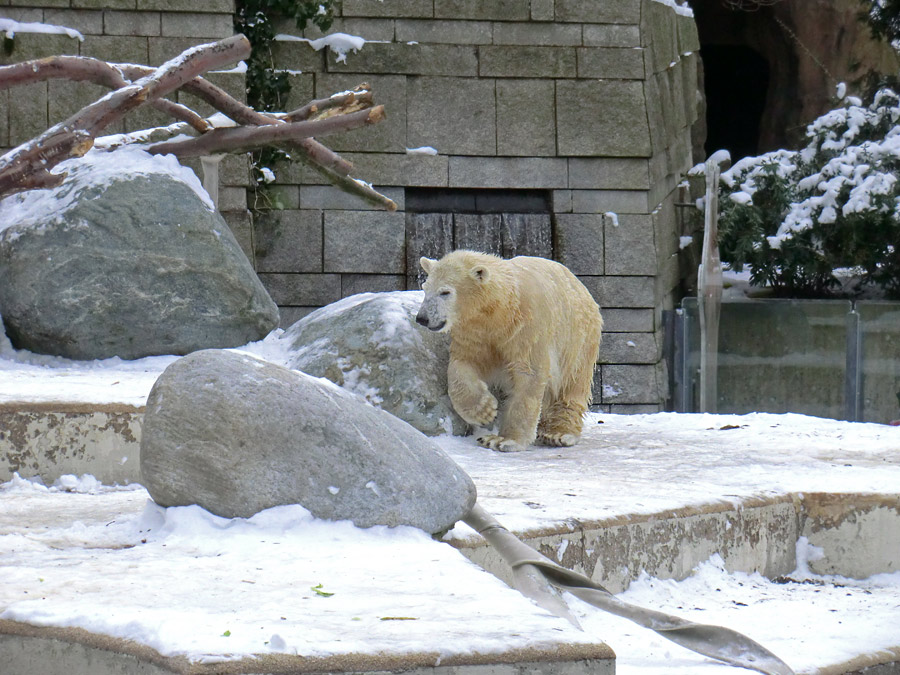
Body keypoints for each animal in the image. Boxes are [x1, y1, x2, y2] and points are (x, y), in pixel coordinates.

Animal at [416, 250, 604, 454]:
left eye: (445, 292)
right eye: (425, 288)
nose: (422, 318)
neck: (501, 309)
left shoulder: (527, 329)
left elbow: (529, 374)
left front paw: (503, 440)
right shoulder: (474, 332)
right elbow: (462, 365)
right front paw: (485, 411)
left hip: (577, 339)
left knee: (572, 383)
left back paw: (558, 434)